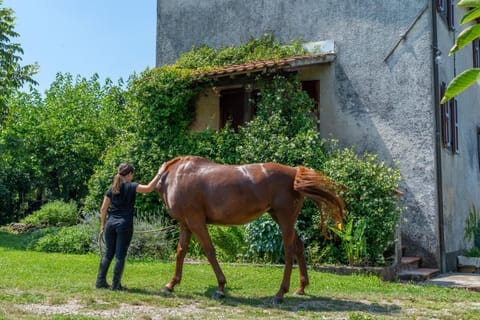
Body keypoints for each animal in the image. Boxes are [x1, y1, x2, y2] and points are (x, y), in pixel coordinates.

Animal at [155, 156, 344, 304]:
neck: (176, 175)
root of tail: (294, 171)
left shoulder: (196, 222)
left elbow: (209, 251)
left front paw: (220, 287)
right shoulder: (186, 223)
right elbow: (181, 252)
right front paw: (171, 285)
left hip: (285, 219)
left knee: (289, 251)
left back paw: (280, 293)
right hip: (282, 219)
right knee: (299, 246)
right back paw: (301, 287)